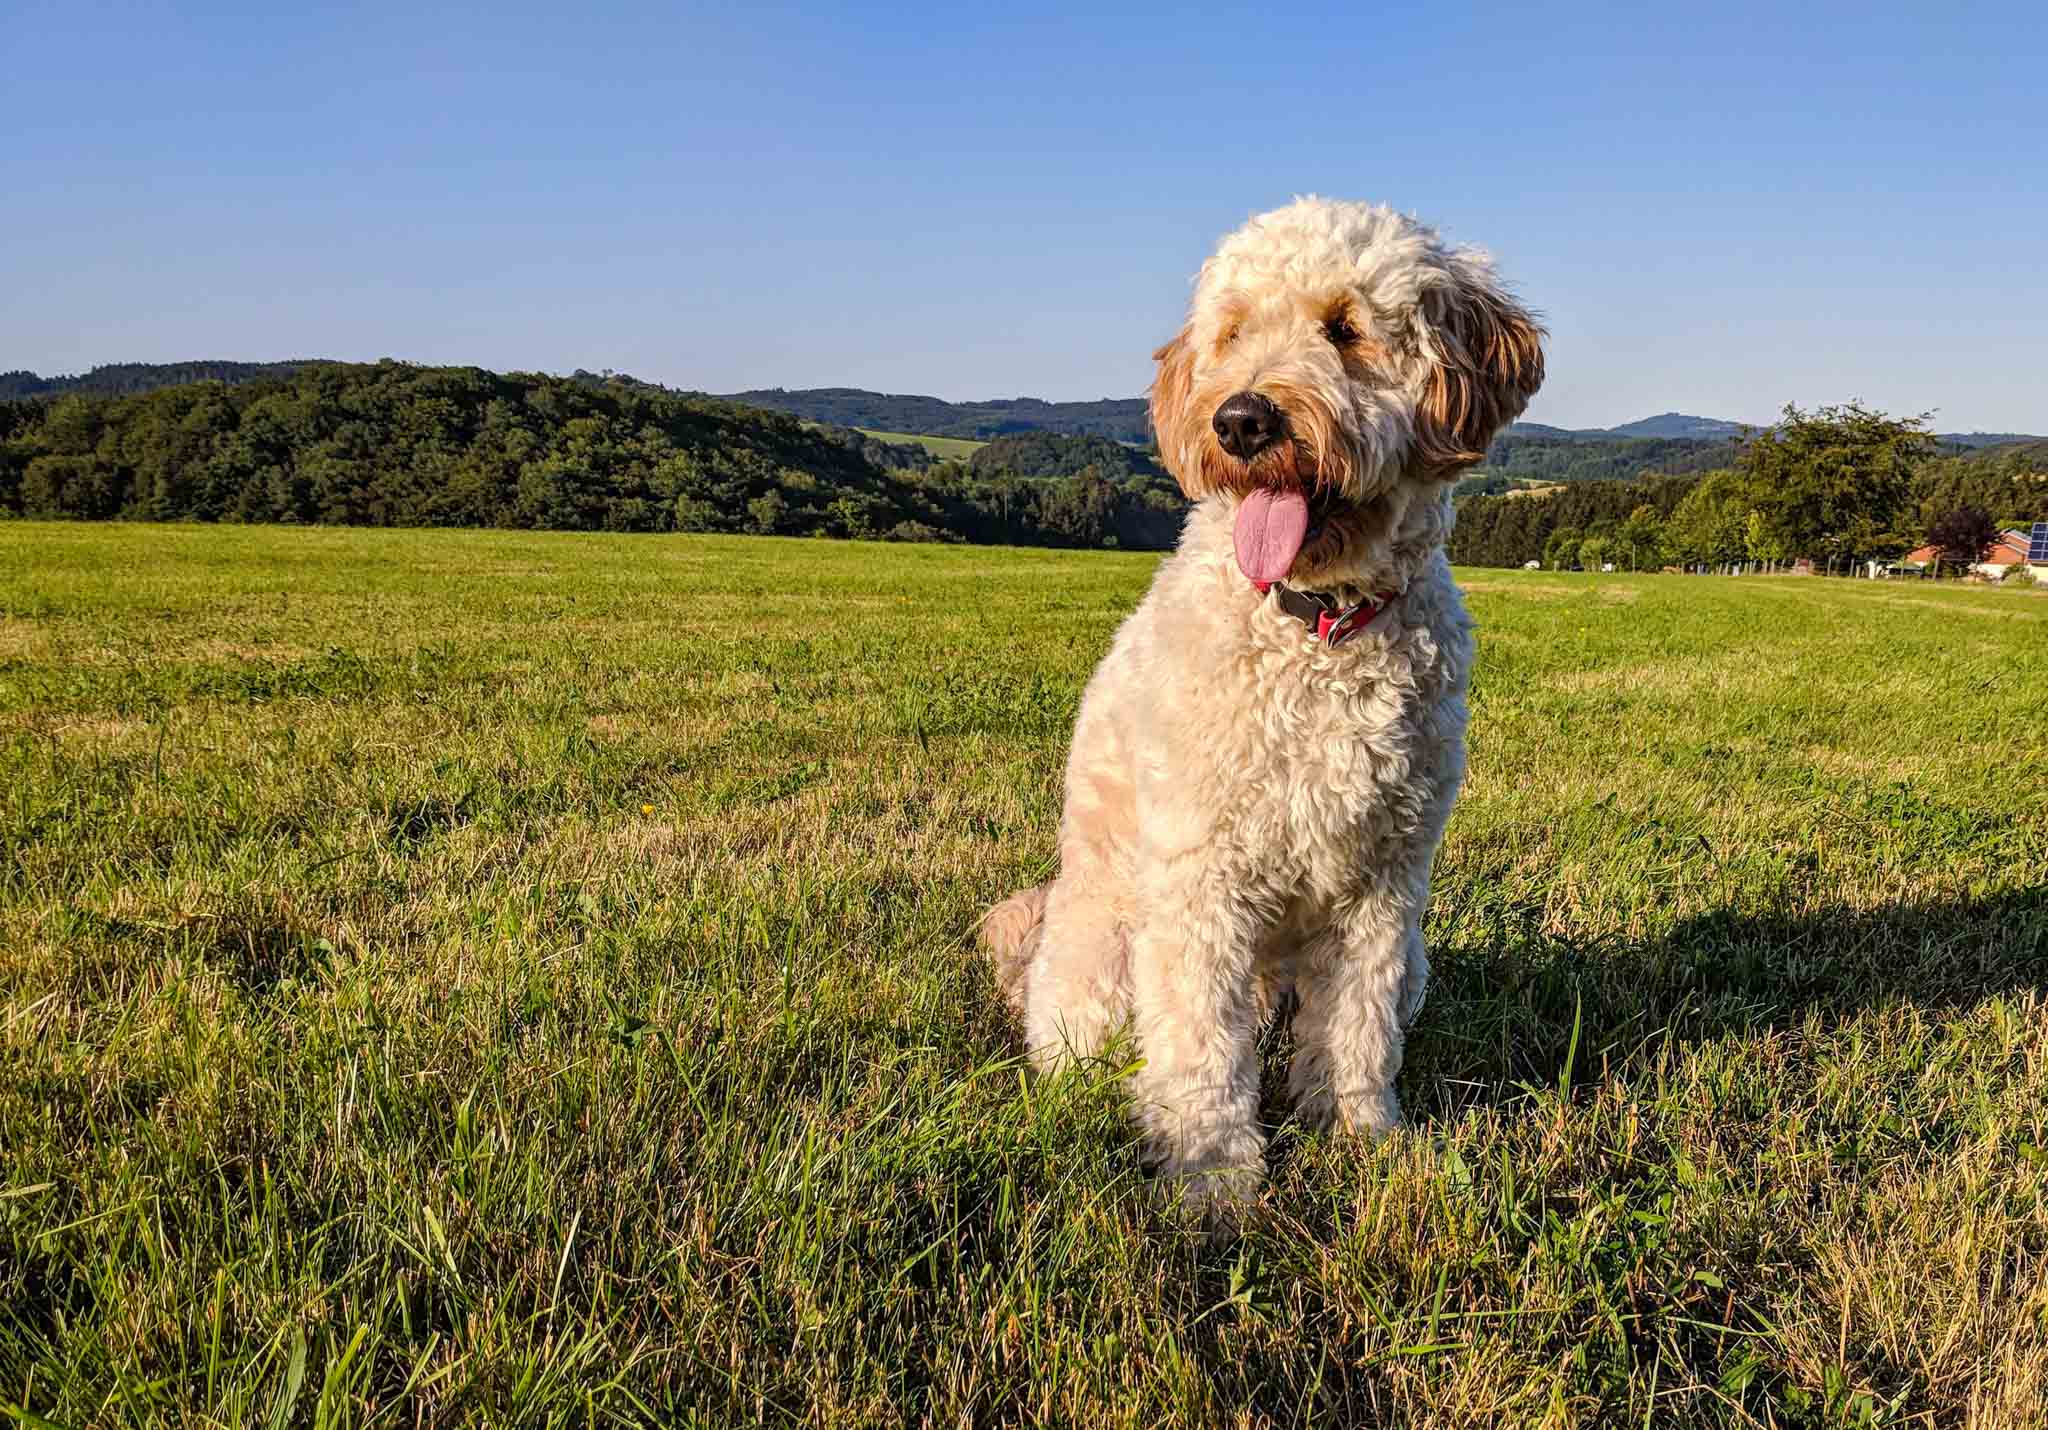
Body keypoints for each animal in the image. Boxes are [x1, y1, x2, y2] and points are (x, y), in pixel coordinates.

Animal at [983, 194, 1540, 1212]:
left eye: (1346, 328)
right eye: (1233, 332)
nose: (1241, 419)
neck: (1318, 630)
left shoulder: (1381, 886)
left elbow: (1357, 1031)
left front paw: (1361, 1142)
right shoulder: (1201, 882)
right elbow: (1200, 1052)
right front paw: (1213, 1181)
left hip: (1415, 958)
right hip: (1106, 957)